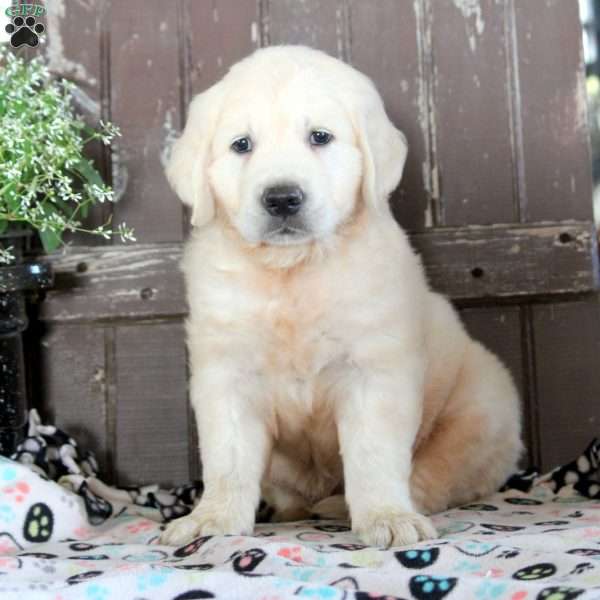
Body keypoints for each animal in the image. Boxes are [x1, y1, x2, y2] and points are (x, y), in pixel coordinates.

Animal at [162, 45, 524, 548]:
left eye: (320, 137)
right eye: (241, 145)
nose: (282, 198)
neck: (293, 270)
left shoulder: (374, 371)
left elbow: (374, 455)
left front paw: (387, 519)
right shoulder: (225, 373)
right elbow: (228, 459)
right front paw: (211, 519)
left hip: (483, 404)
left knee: (436, 476)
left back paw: (358, 507)